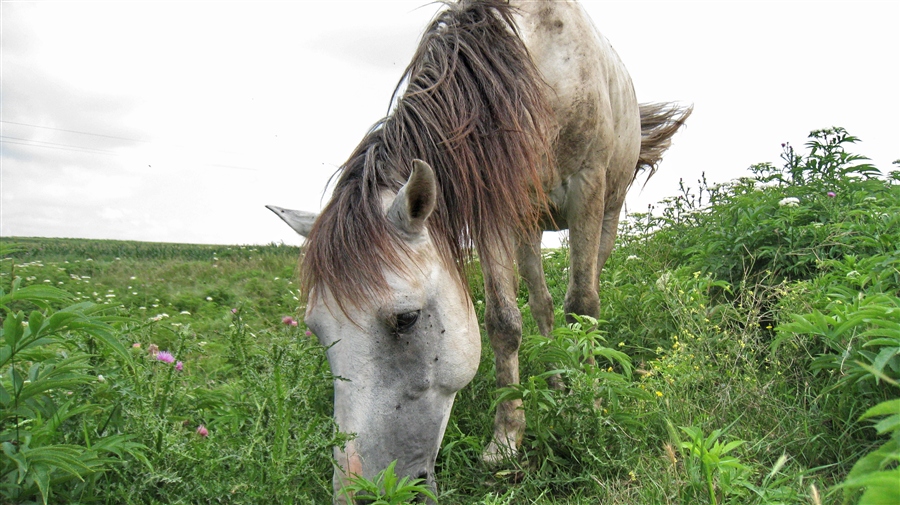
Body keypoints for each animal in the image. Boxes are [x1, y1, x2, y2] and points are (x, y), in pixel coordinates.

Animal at [270, 0, 692, 500]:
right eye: (315, 329)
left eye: (406, 319)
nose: (360, 492)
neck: (534, 69)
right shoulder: (495, 206)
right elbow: (503, 322)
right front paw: (506, 438)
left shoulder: (587, 187)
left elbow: (583, 307)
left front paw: (588, 407)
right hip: (528, 226)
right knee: (542, 304)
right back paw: (557, 378)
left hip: (608, 207)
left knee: (586, 294)